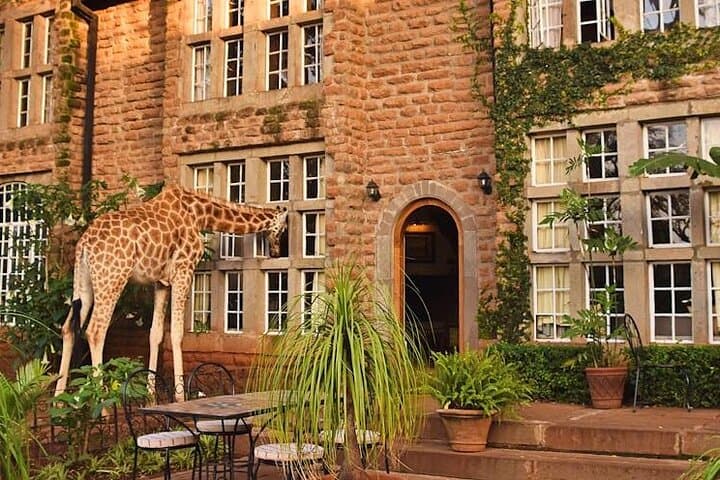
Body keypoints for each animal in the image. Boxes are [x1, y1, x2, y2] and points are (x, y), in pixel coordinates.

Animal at [54, 184, 288, 400]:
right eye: (283, 229)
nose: (277, 252)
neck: (200, 214)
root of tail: (84, 244)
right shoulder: (184, 270)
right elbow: (176, 333)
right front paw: (180, 396)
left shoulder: (161, 282)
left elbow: (155, 334)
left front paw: (150, 395)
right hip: (112, 278)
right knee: (95, 331)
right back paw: (101, 403)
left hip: (83, 281)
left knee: (68, 328)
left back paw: (60, 400)